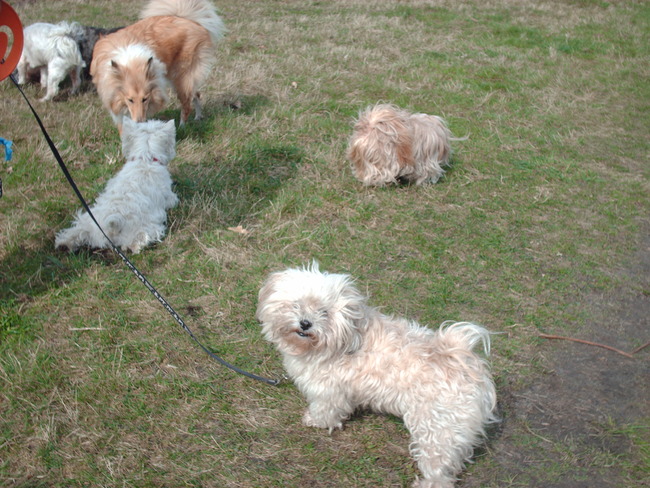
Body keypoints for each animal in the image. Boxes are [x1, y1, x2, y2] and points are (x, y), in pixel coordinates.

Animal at [55, 118, 178, 254]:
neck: (145, 158)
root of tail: (113, 223)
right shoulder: (168, 196)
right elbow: (173, 200)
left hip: (87, 220)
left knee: (75, 232)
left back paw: (63, 244)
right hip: (148, 229)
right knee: (138, 240)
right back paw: (134, 247)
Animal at [90, 0, 226, 132]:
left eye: (145, 99)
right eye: (130, 100)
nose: (139, 122)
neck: (130, 61)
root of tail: (187, 19)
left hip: (180, 78)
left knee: (186, 104)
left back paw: (182, 127)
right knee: (195, 94)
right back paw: (198, 117)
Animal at [257, 263, 497, 488]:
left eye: (324, 312)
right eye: (296, 304)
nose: (305, 323)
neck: (344, 338)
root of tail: (463, 361)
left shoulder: (328, 392)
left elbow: (325, 411)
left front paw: (316, 421)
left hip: (437, 431)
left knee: (439, 467)